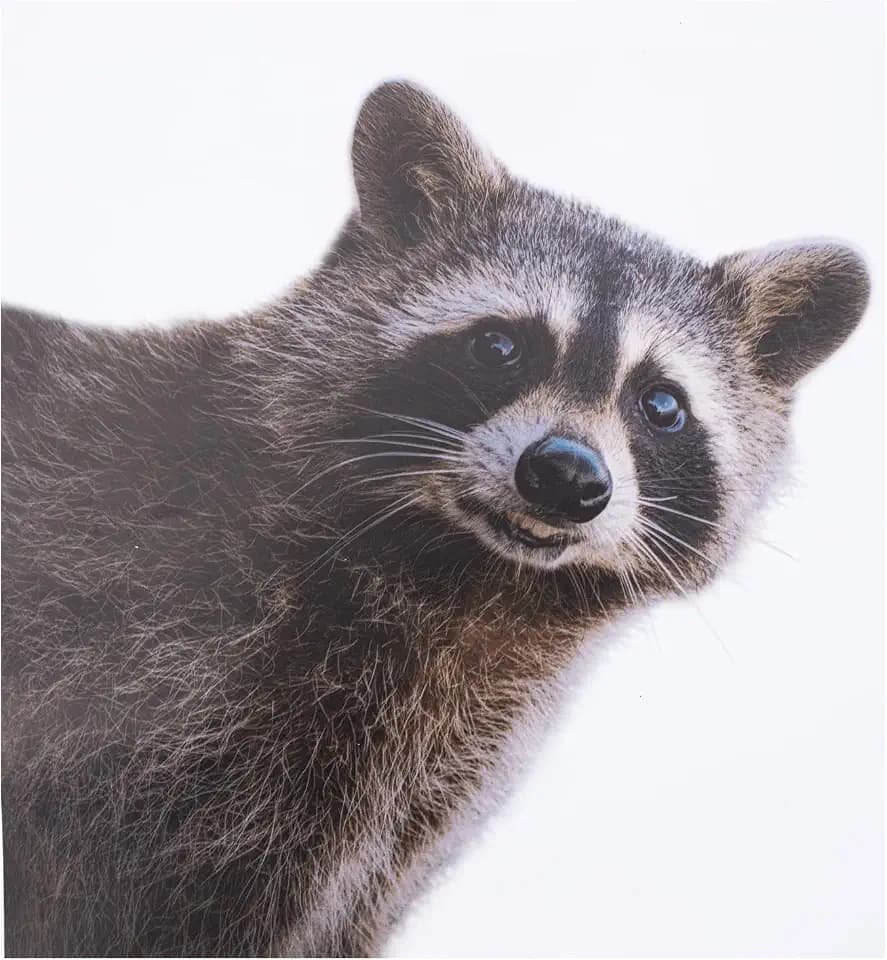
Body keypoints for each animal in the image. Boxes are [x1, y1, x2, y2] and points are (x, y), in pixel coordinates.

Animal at [1, 80, 870, 957]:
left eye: (660, 404)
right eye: (498, 346)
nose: (566, 476)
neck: (472, 583)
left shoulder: (397, 812)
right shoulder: (139, 673)